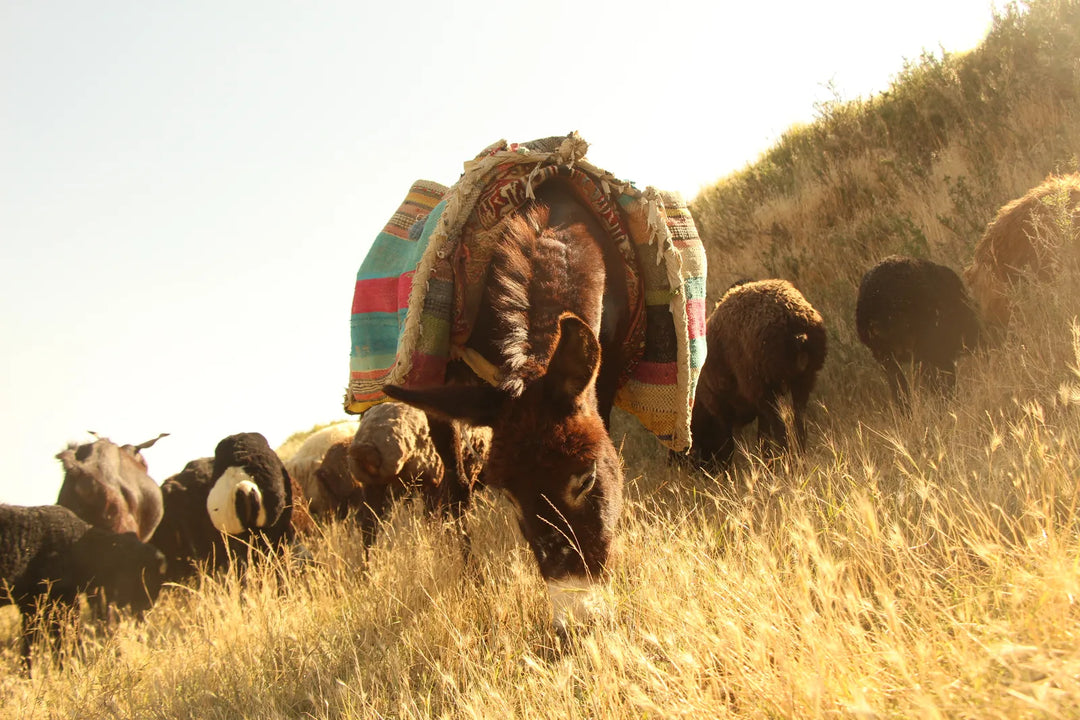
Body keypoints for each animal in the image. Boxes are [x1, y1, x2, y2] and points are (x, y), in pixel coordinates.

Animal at [0, 505, 166, 673]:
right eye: (145, 573)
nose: (148, 605)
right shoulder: (55, 601)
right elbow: (62, 639)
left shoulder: (34, 605)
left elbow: (36, 642)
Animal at [691, 276, 825, 468]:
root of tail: (798, 333)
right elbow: (763, 439)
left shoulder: (721, 410)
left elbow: (729, 446)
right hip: (804, 380)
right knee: (799, 424)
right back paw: (799, 461)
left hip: (764, 388)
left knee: (781, 428)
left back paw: (788, 465)